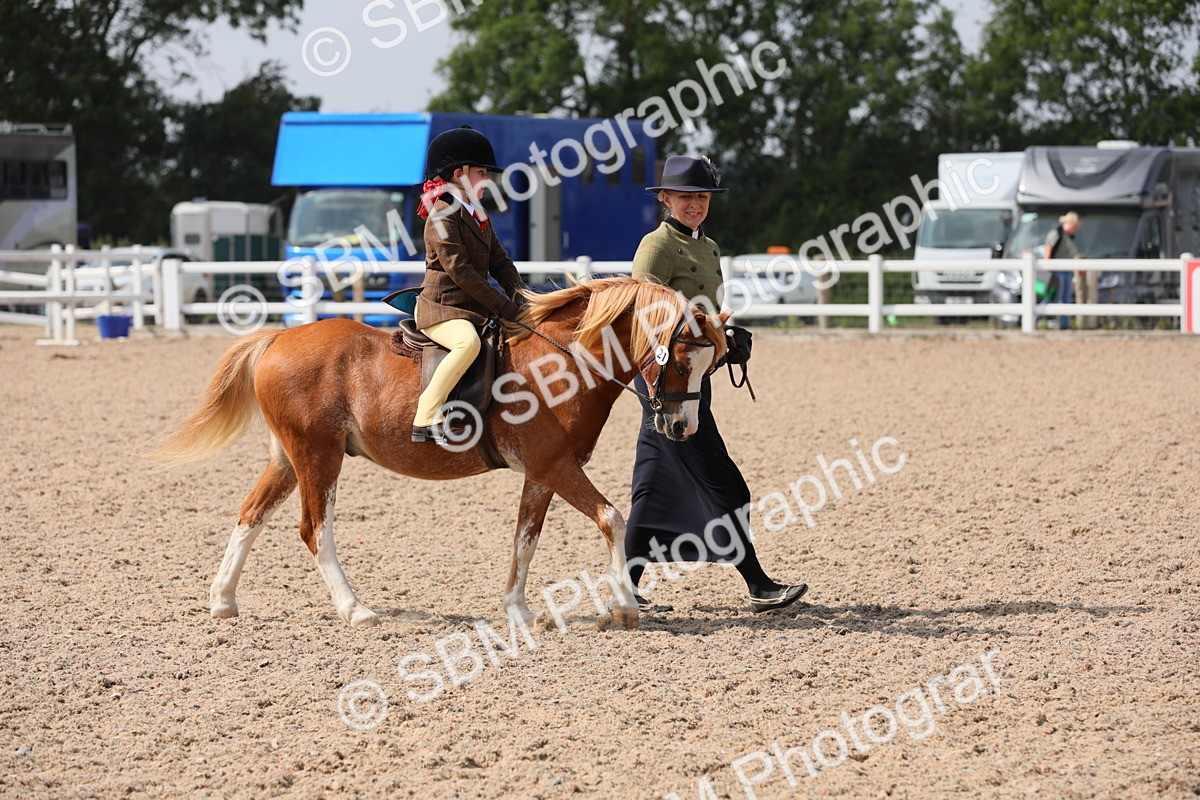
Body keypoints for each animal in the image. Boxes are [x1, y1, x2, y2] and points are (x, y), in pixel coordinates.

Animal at [153, 276, 728, 629]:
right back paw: (355, 609)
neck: (562, 359)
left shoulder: (542, 473)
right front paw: (625, 607)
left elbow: (525, 539)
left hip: (289, 459)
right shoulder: (557, 467)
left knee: (250, 514)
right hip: (318, 458)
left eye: (711, 366)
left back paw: (223, 599)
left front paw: (517, 611)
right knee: (314, 530)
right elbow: (611, 517)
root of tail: (278, 338)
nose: (681, 427)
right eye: (681, 363)